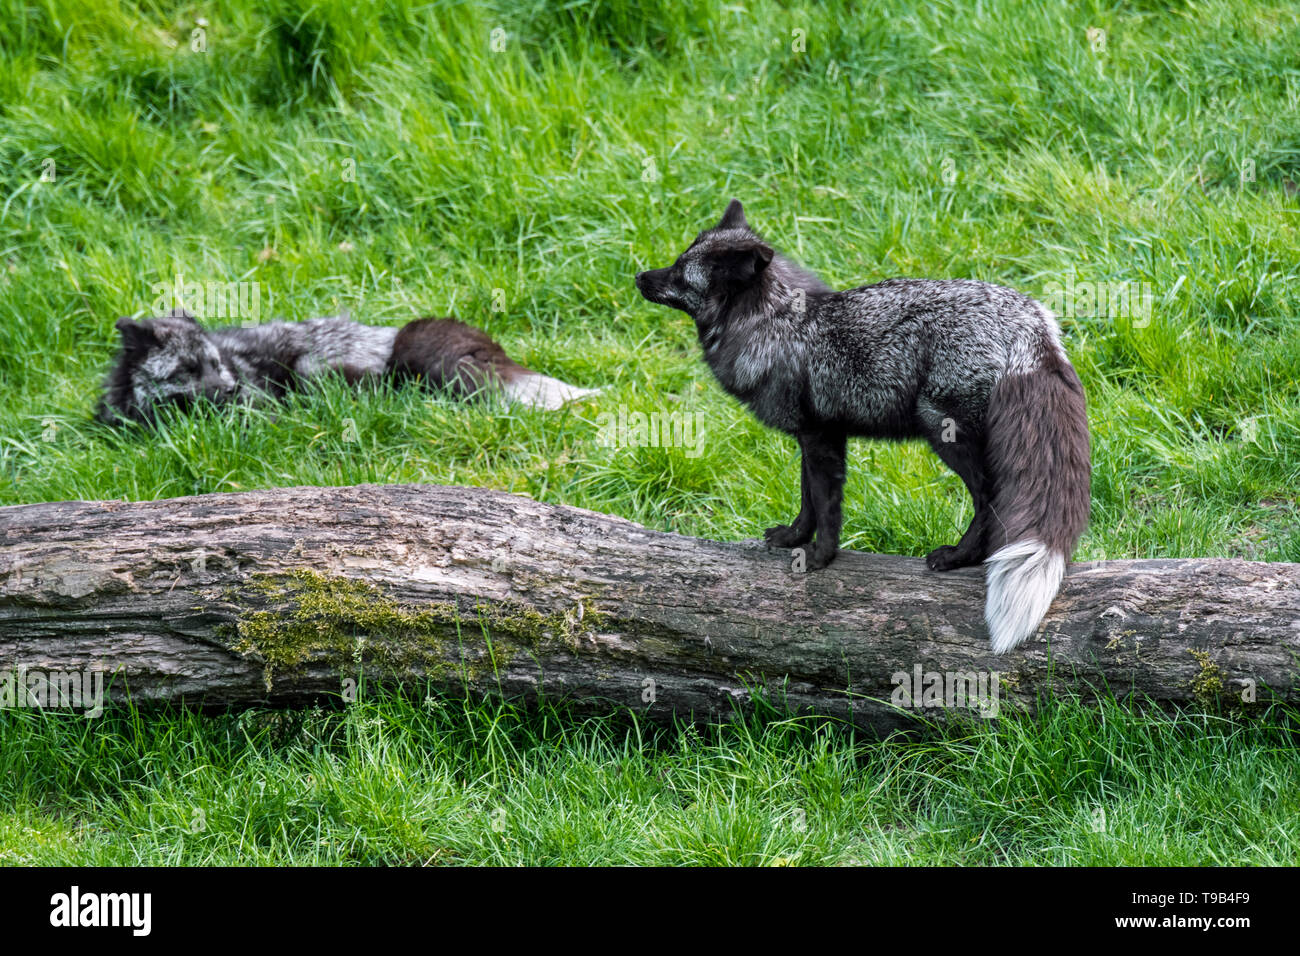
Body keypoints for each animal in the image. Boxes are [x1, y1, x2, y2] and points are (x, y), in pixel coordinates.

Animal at [634, 200, 1092, 650]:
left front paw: (820, 558)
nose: (638, 276)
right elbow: (807, 501)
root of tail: (1033, 325)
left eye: (680, 272)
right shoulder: (815, 436)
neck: (780, 325)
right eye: (677, 260)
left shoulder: (821, 438)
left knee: (988, 498)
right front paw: (793, 539)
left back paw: (958, 557)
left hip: (944, 432)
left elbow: (826, 505)